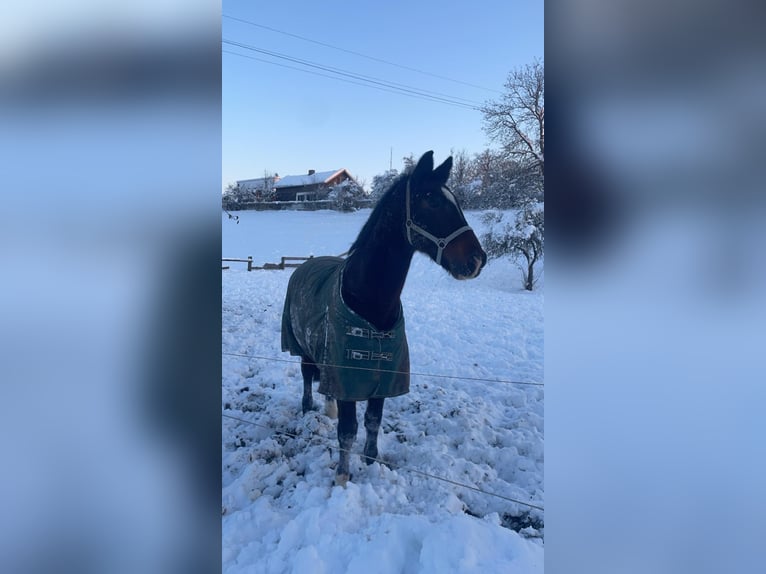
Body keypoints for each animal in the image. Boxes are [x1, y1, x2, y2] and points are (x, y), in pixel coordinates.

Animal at [280, 150, 486, 486]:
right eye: (431, 200)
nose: (477, 260)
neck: (370, 303)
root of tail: (304, 264)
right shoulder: (348, 377)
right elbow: (347, 431)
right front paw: (342, 477)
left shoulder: (385, 378)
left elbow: (373, 421)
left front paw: (371, 461)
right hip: (302, 347)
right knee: (307, 377)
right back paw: (309, 406)